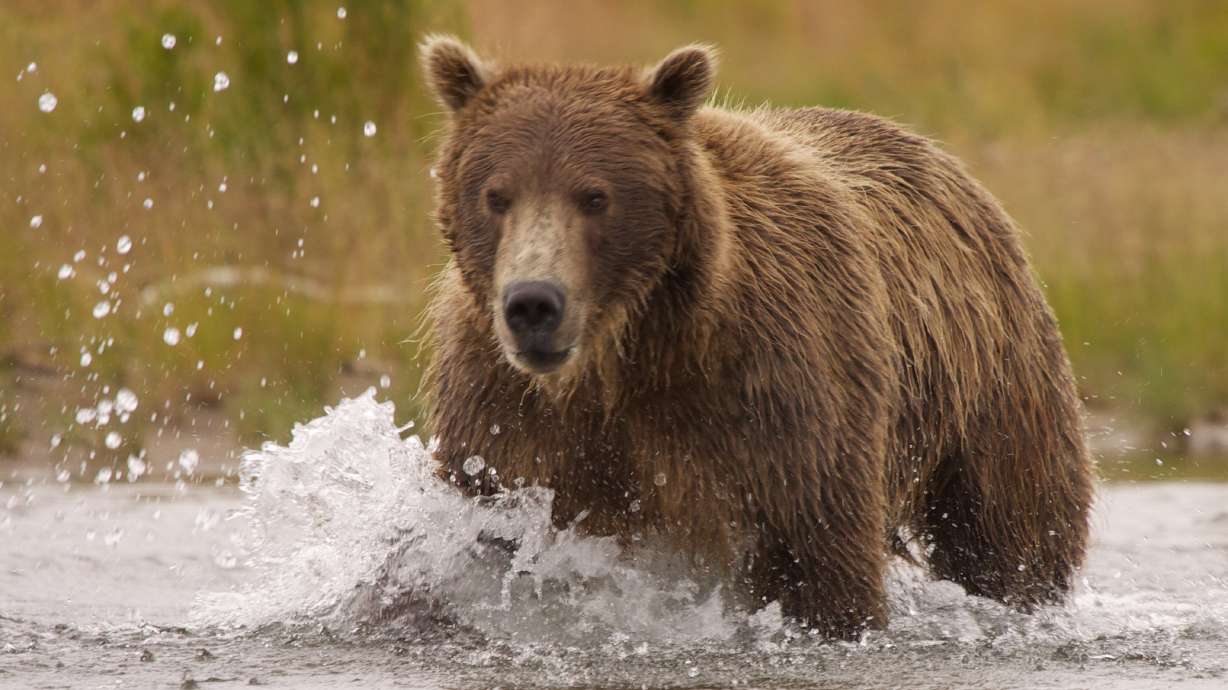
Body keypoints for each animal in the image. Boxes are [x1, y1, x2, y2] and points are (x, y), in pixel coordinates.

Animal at [418, 36, 1093, 639]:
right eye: (496, 194)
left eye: (595, 196)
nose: (533, 303)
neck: (623, 361)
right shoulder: (507, 418)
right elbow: (493, 530)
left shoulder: (778, 395)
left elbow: (820, 560)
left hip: (992, 388)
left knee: (1011, 528)